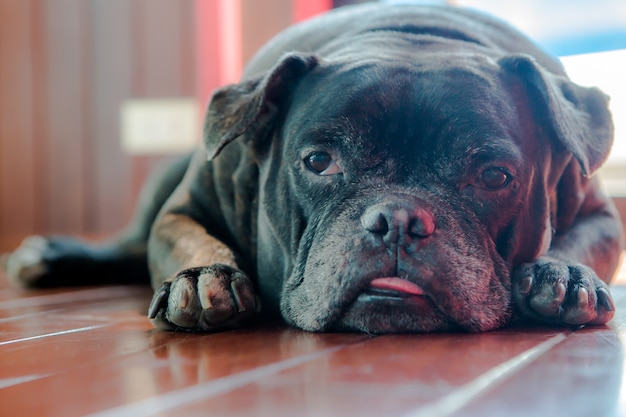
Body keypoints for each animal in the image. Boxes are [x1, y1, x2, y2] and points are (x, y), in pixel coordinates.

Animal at [2, 4, 620, 332]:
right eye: (319, 162)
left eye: (494, 177)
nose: (399, 219)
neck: (412, 34)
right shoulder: (185, 207)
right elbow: (188, 239)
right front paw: (203, 278)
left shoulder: (600, 214)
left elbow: (579, 243)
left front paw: (563, 275)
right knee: (129, 246)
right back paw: (51, 255)